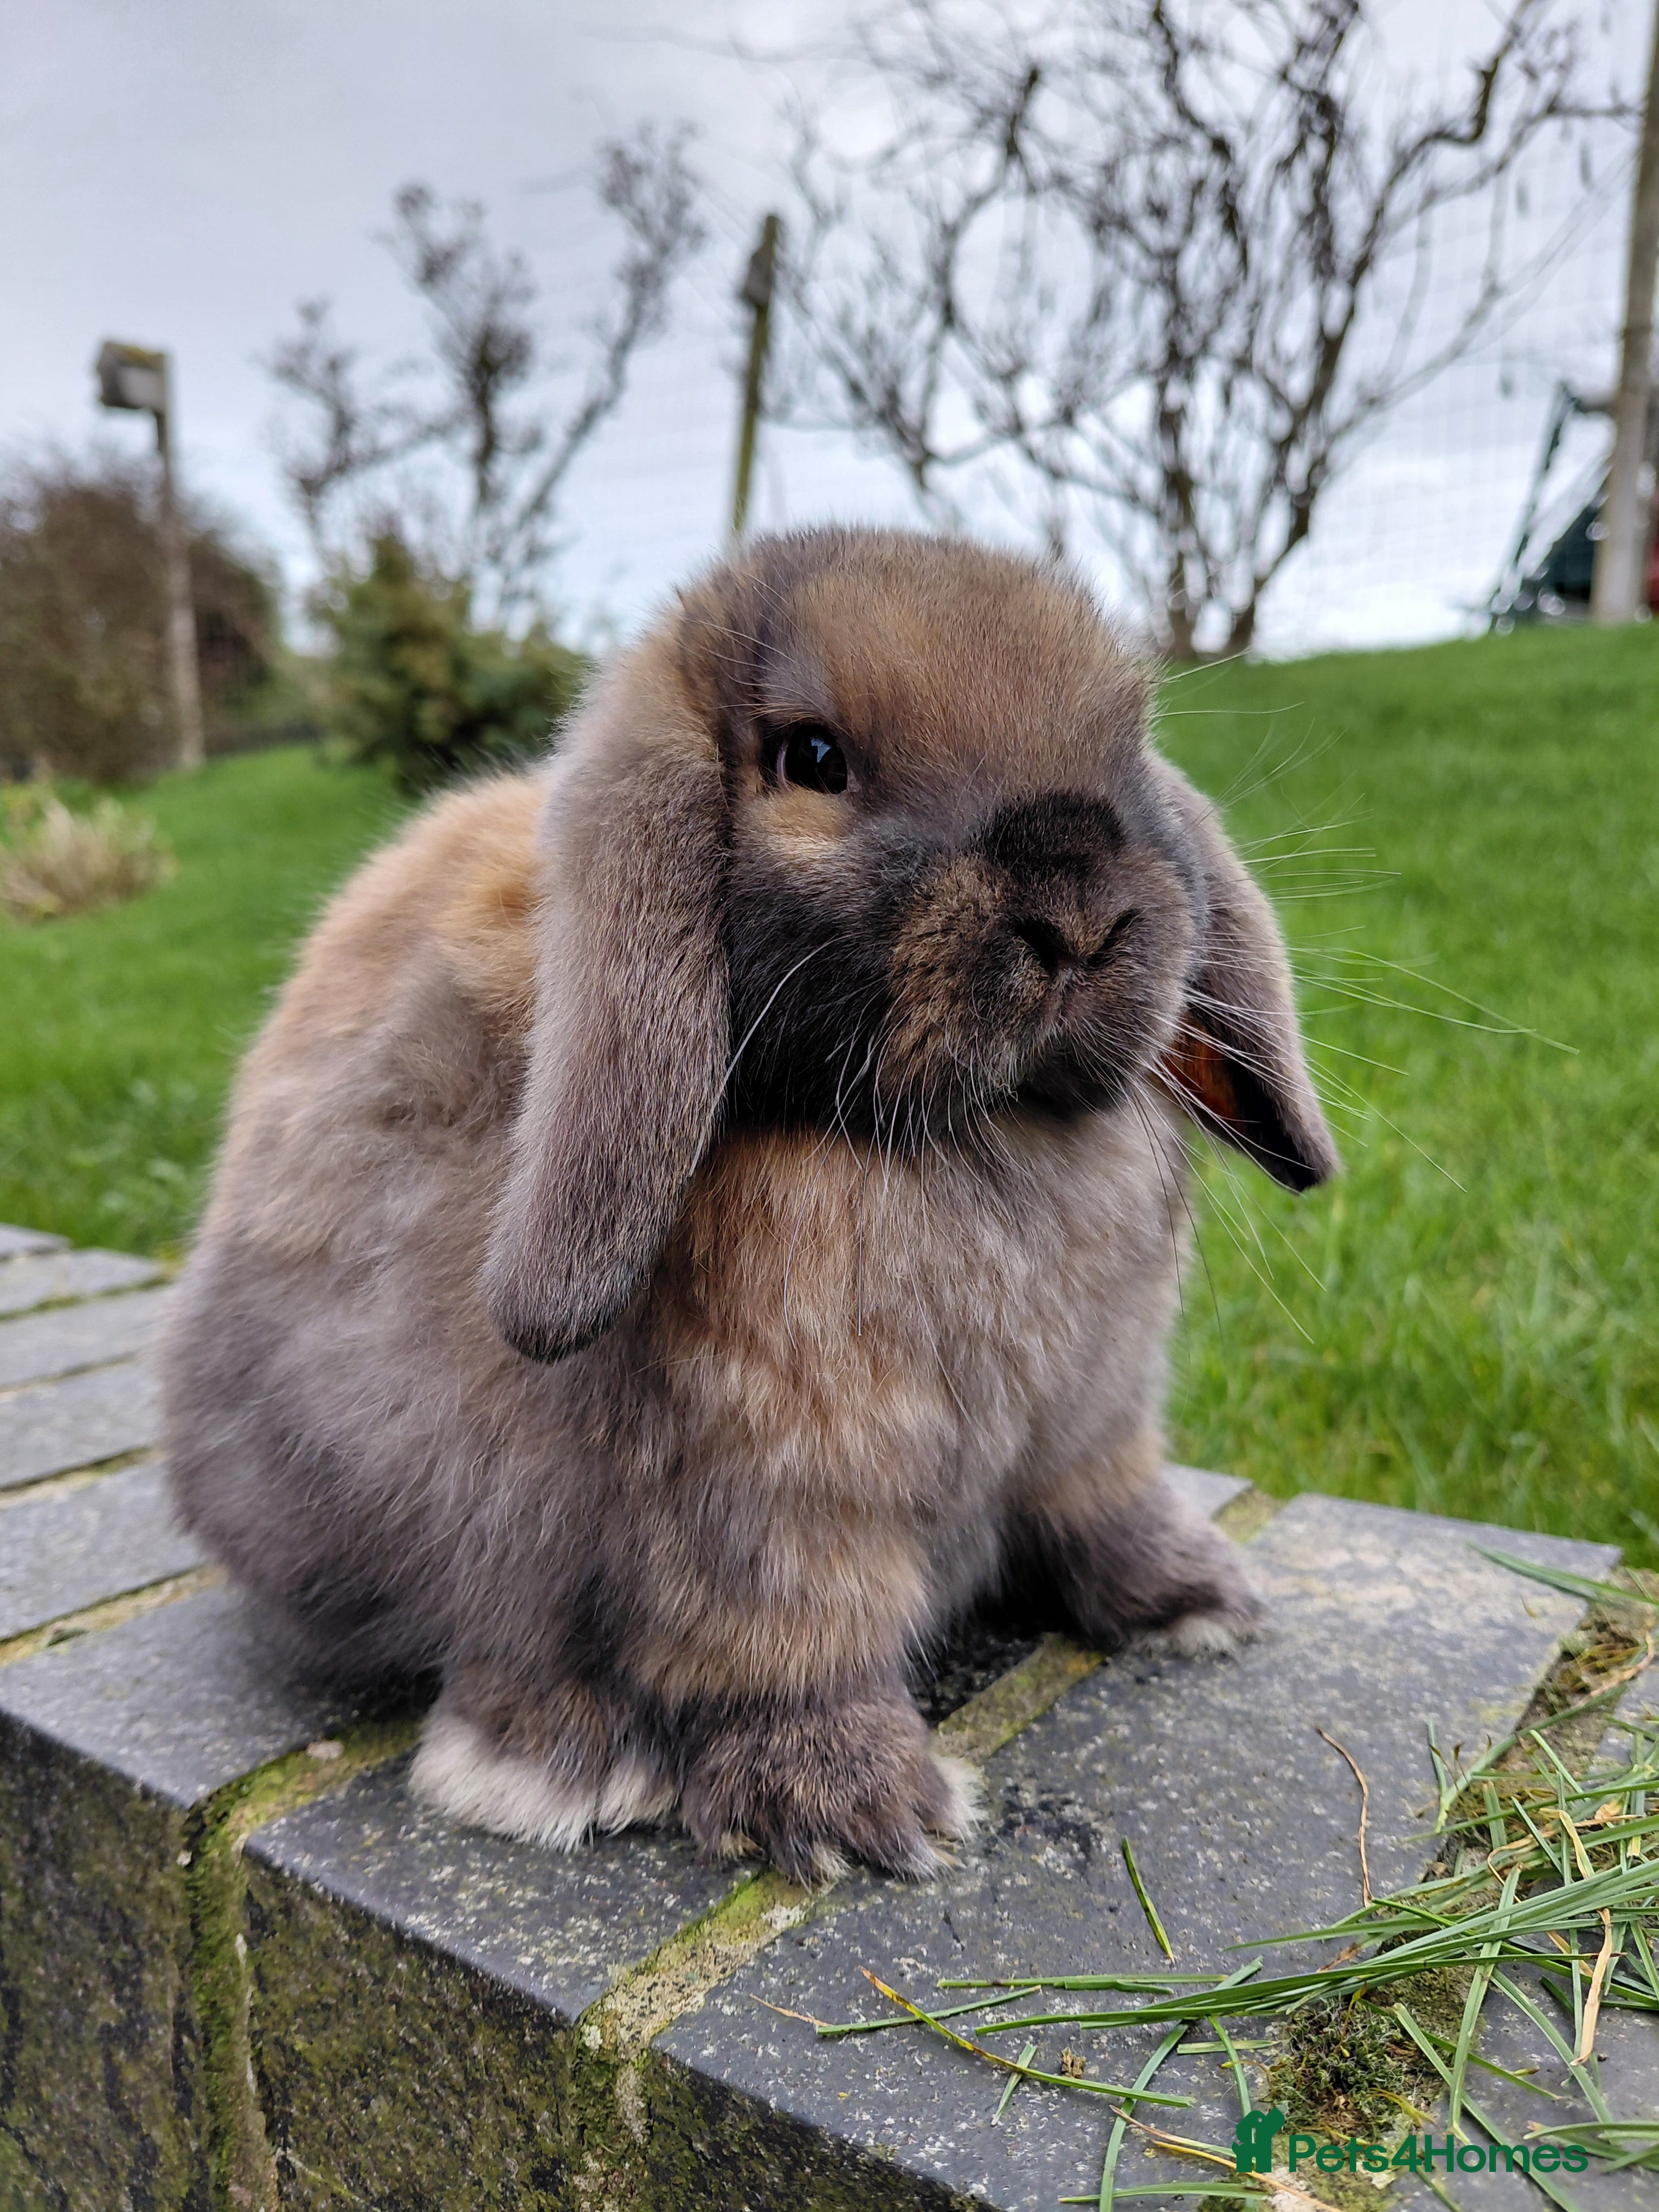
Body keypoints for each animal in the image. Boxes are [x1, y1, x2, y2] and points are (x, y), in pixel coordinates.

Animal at [163, 526, 1336, 1884]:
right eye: (812, 759)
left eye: (1129, 744)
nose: (1082, 908)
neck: (979, 1137)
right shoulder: (762, 1505)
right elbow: (786, 1644)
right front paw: (858, 1812)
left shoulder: (1094, 1428)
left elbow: (1111, 1510)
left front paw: (1198, 1601)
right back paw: (554, 1768)